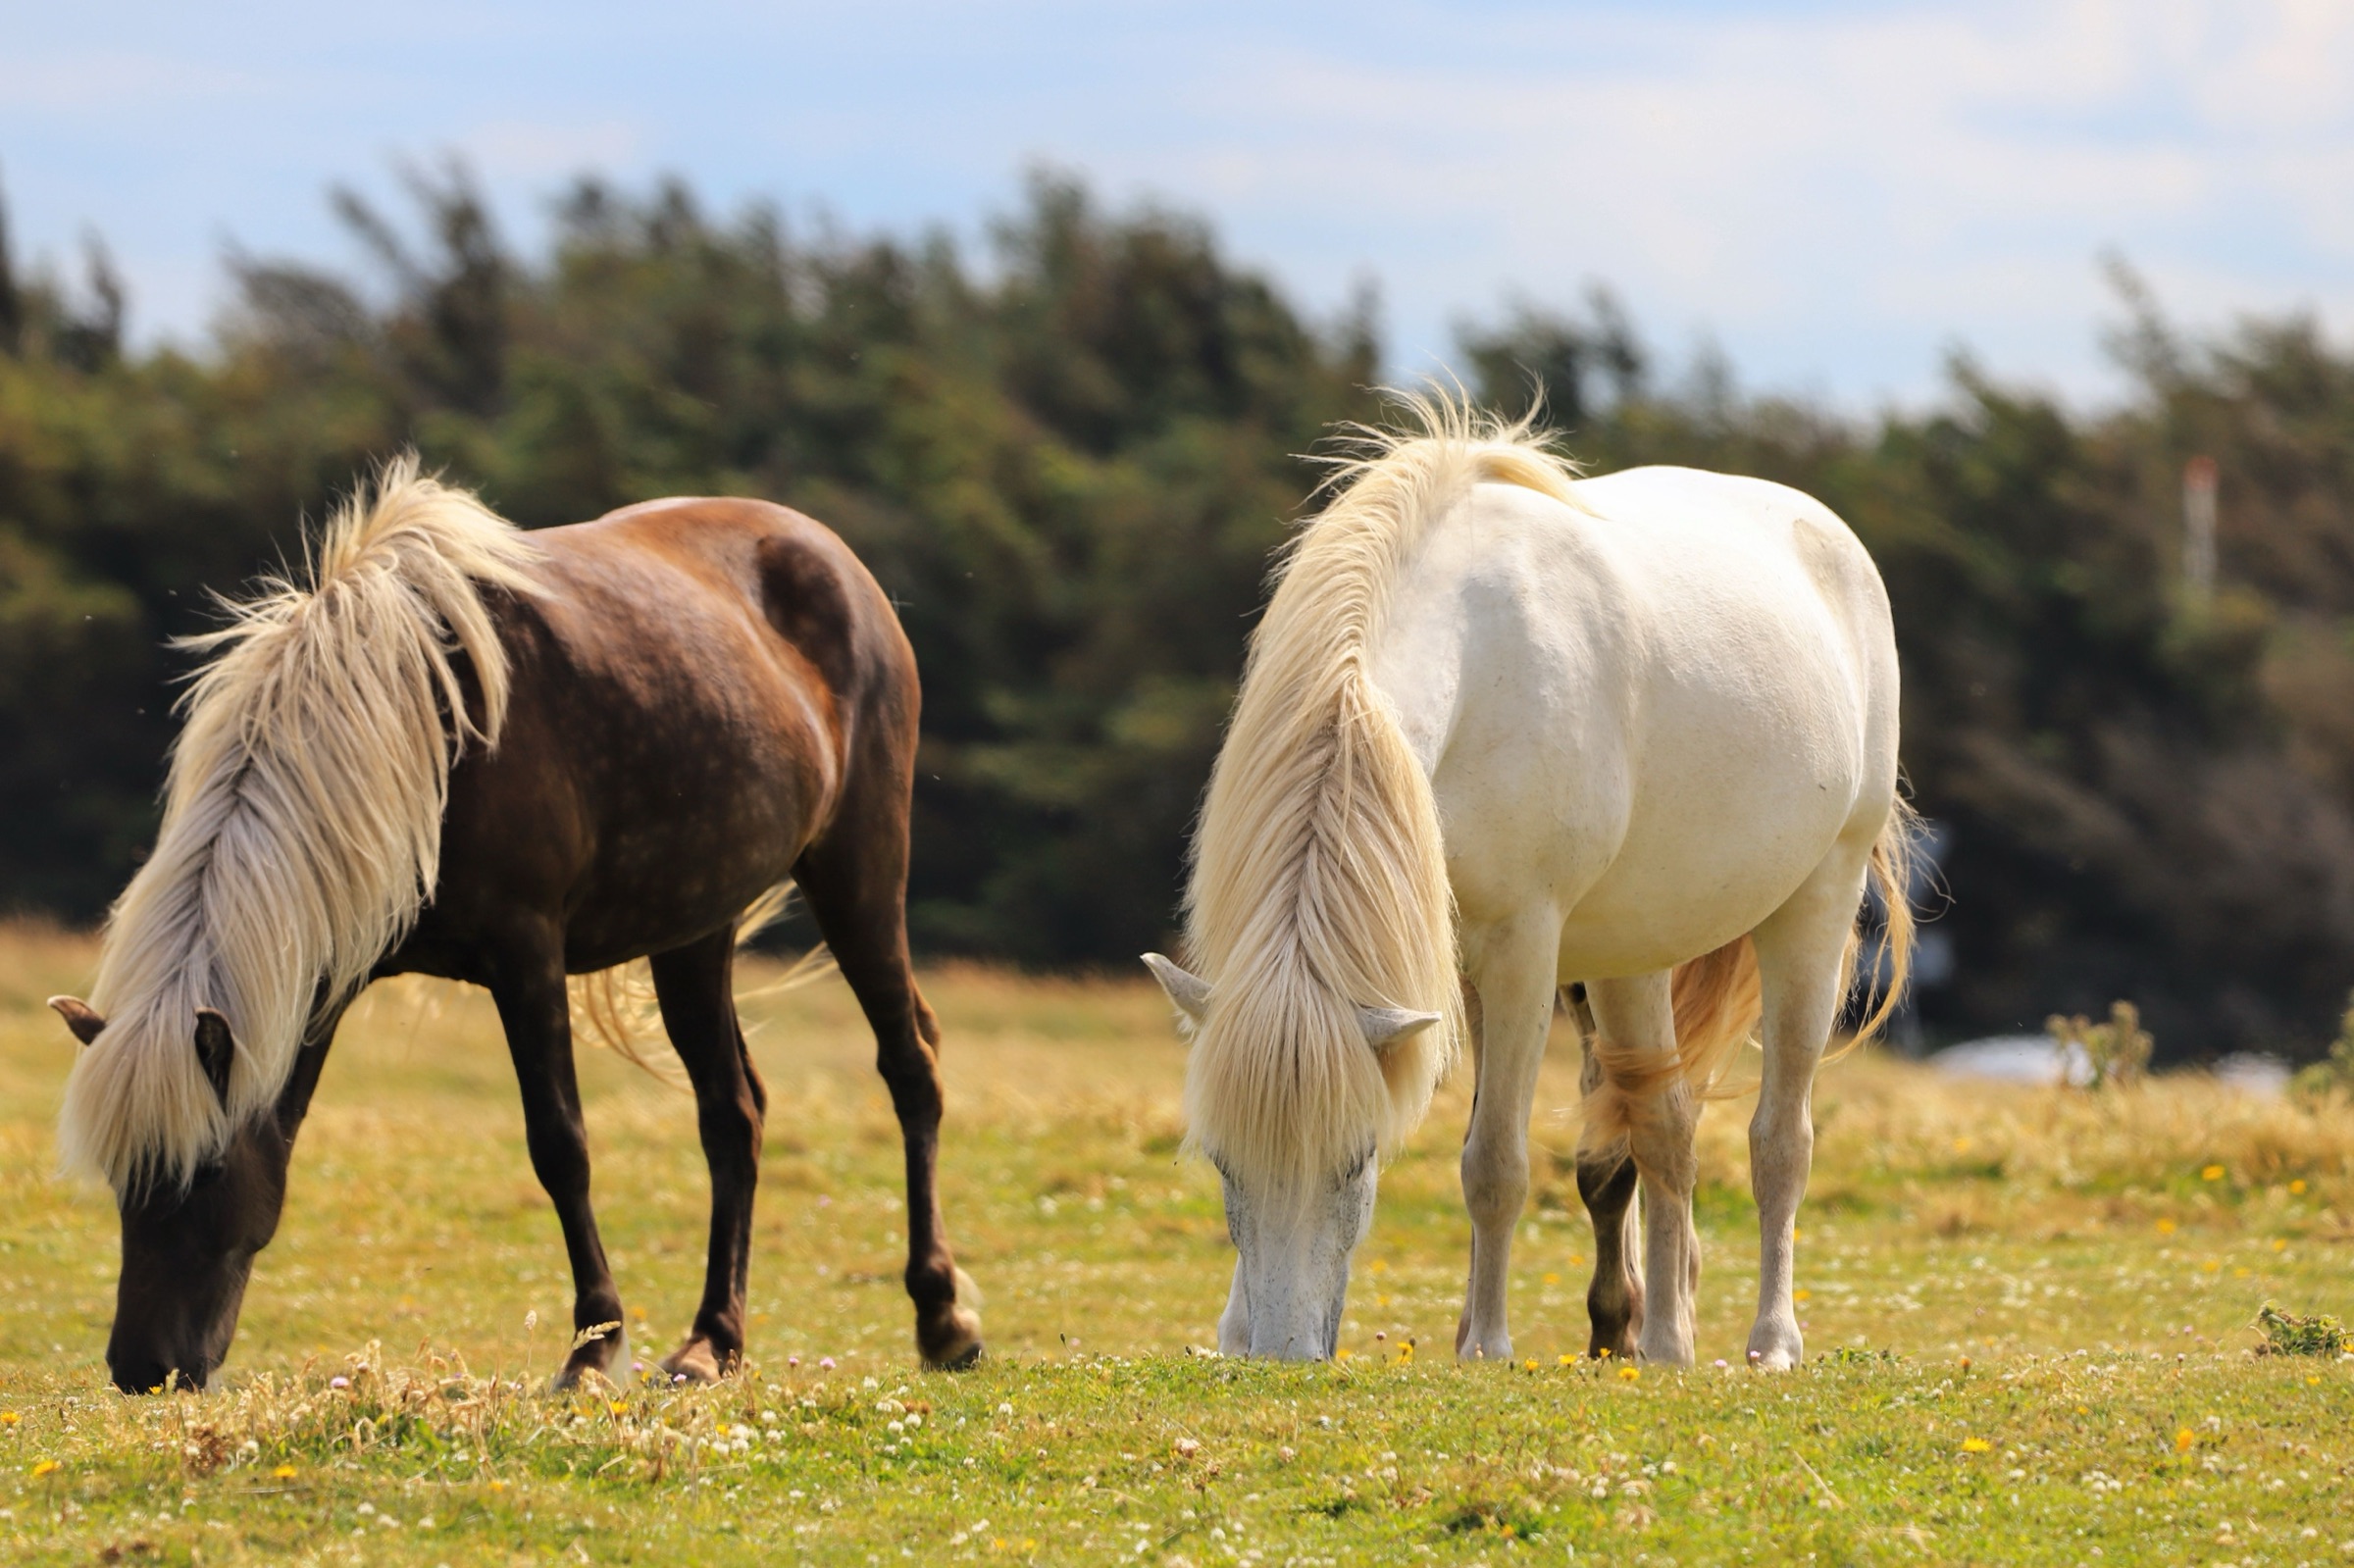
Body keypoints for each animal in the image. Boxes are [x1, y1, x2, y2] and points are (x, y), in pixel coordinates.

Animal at [49, 458, 982, 1393]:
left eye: (203, 1170)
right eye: (124, 1177)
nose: (142, 1366)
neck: (416, 736)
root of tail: (833, 557)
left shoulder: (527, 953)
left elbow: (559, 1146)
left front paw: (593, 1346)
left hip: (859, 868)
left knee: (910, 1065)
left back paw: (942, 1317)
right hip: (695, 924)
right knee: (733, 1114)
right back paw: (712, 1342)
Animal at [1143, 397, 1914, 1367]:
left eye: (1359, 1158)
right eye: (1222, 1160)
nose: (1280, 1352)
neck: (1478, 657)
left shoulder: (1521, 947)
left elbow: (1495, 1162)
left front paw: (1488, 1345)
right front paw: (1238, 1325)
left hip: (1815, 907)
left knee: (1780, 1140)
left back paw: (1770, 1339)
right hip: (1635, 951)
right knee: (1664, 1127)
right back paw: (1664, 1339)